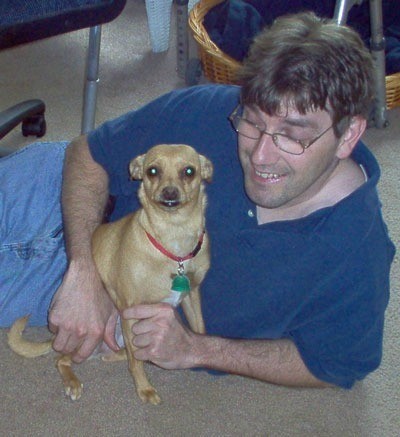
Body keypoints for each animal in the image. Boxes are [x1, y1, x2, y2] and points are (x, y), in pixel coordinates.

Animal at [7, 144, 212, 406]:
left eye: (189, 171)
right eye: (152, 171)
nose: (169, 192)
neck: (174, 237)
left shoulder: (192, 295)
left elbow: (199, 328)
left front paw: (197, 352)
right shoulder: (131, 309)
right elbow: (136, 364)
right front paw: (144, 388)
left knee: (126, 353)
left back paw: (115, 356)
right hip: (91, 334)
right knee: (62, 359)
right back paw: (72, 382)